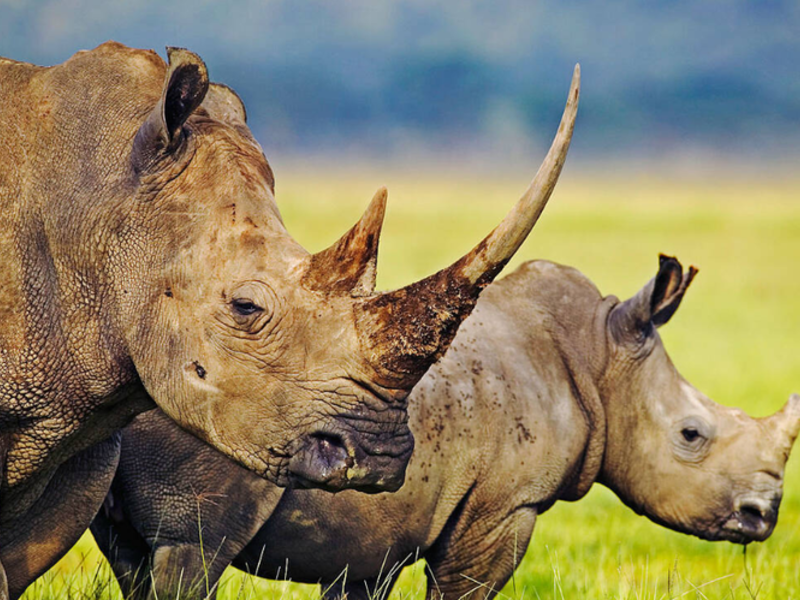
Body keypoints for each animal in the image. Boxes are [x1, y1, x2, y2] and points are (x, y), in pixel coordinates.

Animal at [92, 256, 800, 600]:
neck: (601, 358)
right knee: (191, 553)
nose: (762, 515)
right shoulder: (504, 506)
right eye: (691, 436)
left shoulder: (372, 536)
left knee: (133, 558)